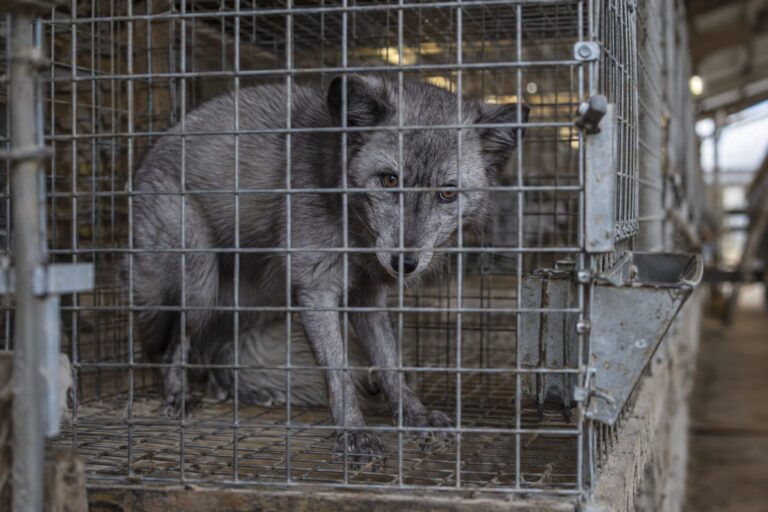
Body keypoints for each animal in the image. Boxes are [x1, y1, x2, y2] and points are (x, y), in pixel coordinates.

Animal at [128, 74, 528, 463]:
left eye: (447, 193)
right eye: (389, 180)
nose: (405, 263)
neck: (355, 234)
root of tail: (147, 160)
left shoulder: (368, 296)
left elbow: (390, 365)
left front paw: (414, 415)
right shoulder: (316, 289)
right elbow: (339, 372)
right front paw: (352, 431)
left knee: (216, 352)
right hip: (200, 281)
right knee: (174, 346)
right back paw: (178, 394)